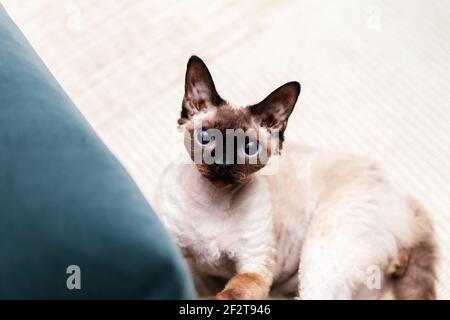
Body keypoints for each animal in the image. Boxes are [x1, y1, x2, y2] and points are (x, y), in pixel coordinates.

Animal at [156, 55, 438, 300]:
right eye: (206, 138)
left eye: (248, 147)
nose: (224, 162)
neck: (213, 199)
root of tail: (405, 198)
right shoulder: (178, 254)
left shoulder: (254, 267)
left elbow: (228, 295)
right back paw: (398, 265)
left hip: (322, 254)